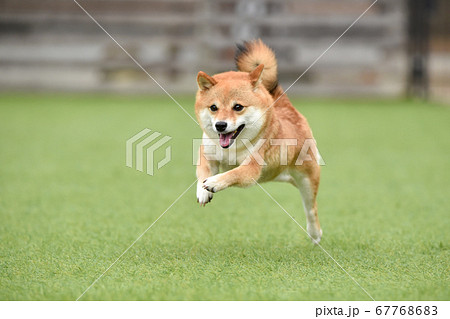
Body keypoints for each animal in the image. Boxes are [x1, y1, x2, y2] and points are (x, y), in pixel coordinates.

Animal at [195, 39, 322, 242]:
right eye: (213, 107)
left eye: (238, 107)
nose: (220, 125)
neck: (232, 148)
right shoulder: (208, 154)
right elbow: (203, 172)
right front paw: (202, 190)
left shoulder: (251, 168)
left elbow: (234, 174)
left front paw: (214, 183)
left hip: (307, 179)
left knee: (311, 209)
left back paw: (315, 233)